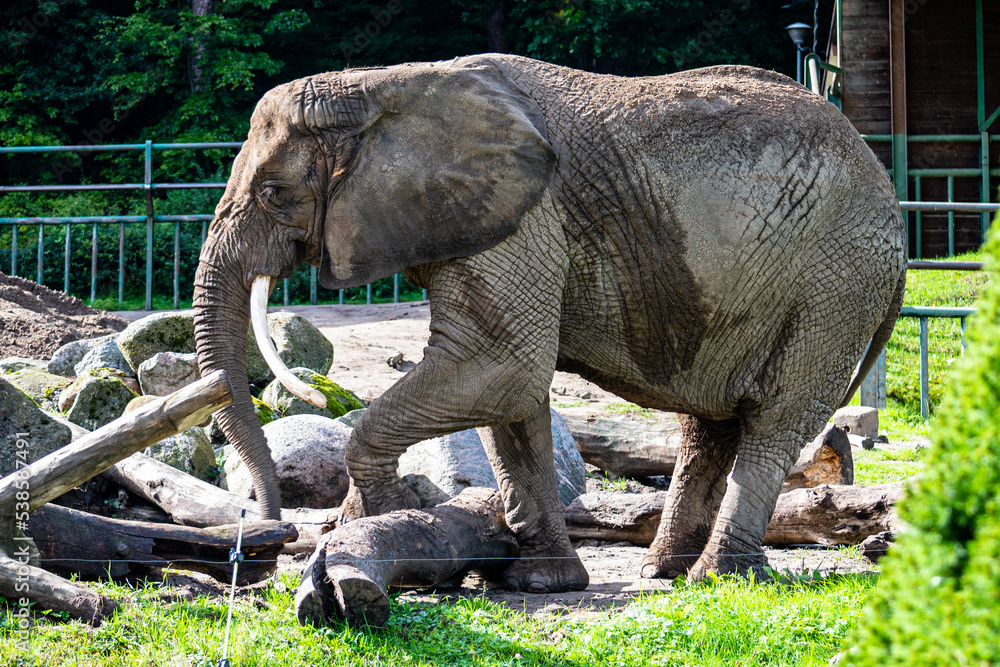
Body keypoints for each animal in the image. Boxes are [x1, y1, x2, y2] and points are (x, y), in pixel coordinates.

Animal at [193, 53, 906, 593]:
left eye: (275, 194)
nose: (264, 534)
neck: (380, 88)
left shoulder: (524, 222)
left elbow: (502, 367)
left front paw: (391, 521)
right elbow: (515, 402)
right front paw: (541, 582)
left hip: (837, 284)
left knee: (773, 418)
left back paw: (717, 578)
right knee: (711, 423)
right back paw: (662, 572)